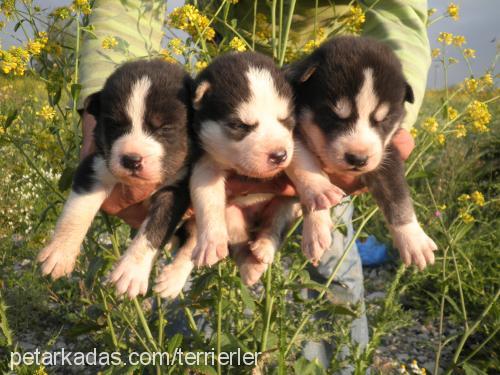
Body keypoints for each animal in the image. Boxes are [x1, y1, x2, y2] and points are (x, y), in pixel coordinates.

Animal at [36, 60, 193, 298]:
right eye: (115, 124)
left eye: (164, 128)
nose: (132, 159)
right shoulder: (96, 166)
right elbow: (76, 212)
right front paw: (60, 252)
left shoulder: (177, 190)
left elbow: (154, 230)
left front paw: (131, 272)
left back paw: (172, 280)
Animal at [286, 36, 438, 270]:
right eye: (334, 116)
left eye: (383, 120)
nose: (358, 158)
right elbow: (303, 165)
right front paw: (317, 222)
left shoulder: (386, 154)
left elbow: (397, 196)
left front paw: (414, 240)